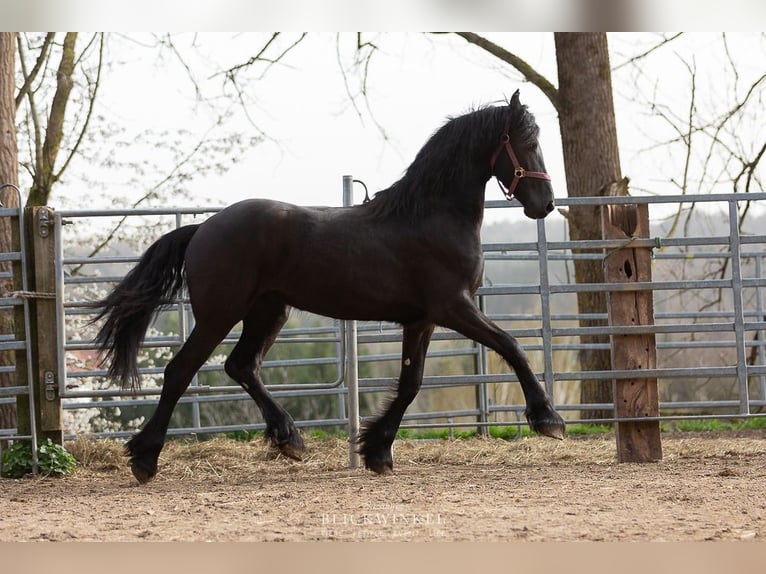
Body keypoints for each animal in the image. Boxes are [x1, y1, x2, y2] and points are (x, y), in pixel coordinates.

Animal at [93, 91, 568, 486]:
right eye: (527, 141)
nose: (545, 205)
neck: (429, 217)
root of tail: (203, 228)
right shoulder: (454, 307)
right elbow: (512, 346)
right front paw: (548, 420)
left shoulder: (422, 320)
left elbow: (411, 383)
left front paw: (377, 451)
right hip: (220, 313)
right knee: (181, 371)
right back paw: (145, 460)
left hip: (269, 311)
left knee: (241, 366)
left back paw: (289, 440)